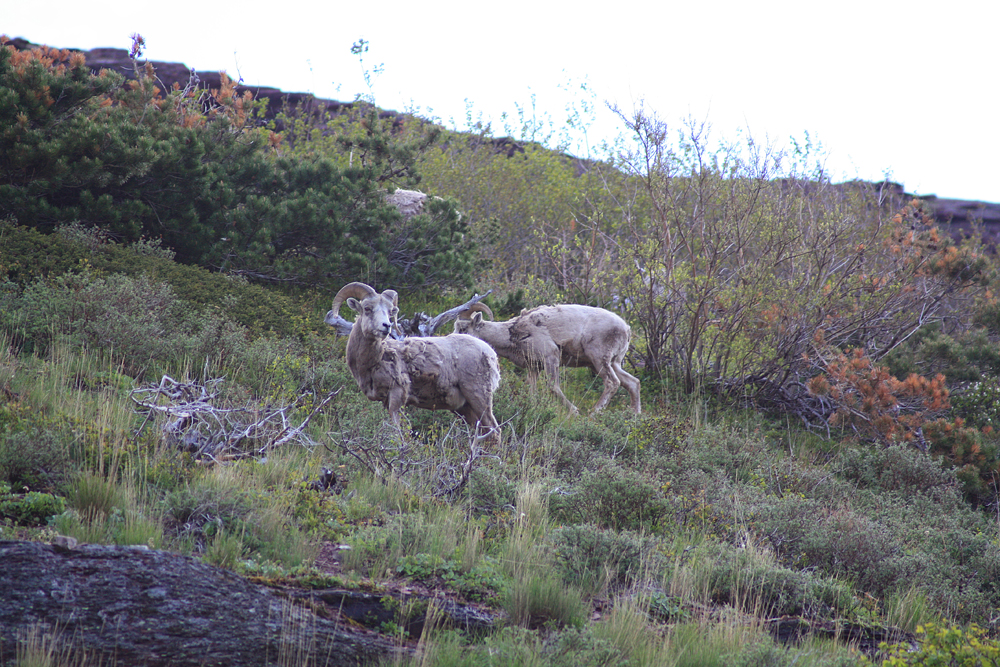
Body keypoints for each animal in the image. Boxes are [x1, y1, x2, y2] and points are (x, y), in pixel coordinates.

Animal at [326, 284, 504, 444]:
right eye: (367, 308)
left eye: (390, 311)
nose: (386, 326)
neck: (375, 361)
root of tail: (490, 353)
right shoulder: (385, 401)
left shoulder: (397, 396)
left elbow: (398, 433)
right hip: (464, 408)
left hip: (479, 397)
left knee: (494, 432)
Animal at [456, 304, 640, 418]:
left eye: (463, 328)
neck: (513, 334)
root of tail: (626, 328)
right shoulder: (534, 367)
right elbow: (532, 390)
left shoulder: (551, 357)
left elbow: (553, 387)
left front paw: (574, 412)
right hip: (610, 363)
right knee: (633, 383)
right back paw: (635, 416)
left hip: (599, 360)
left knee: (612, 383)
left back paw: (593, 413)